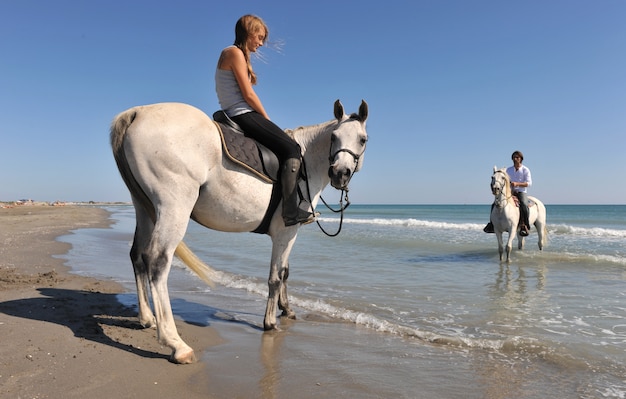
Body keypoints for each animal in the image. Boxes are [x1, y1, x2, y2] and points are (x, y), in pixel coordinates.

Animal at [110, 101, 368, 366]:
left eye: (362, 139)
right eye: (334, 137)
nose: (340, 173)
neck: (306, 160)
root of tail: (137, 112)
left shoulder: (289, 235)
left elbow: (285, 272)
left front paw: (287, 309)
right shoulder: (286, 231)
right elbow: (276, 277)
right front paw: (270, 322)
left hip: (144, 207)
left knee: (137, 256)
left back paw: (147, 318)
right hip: (174, 207)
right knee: (157, 261)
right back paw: (176, 343)